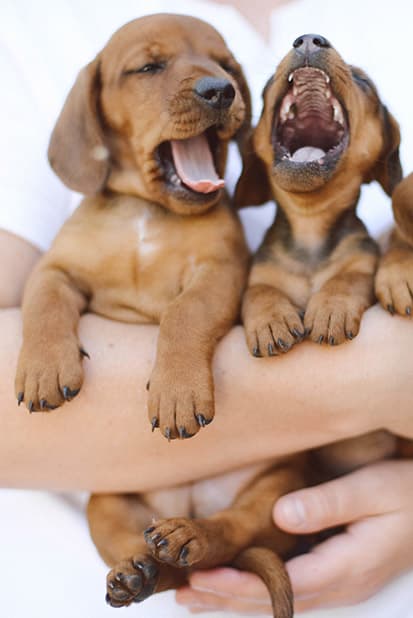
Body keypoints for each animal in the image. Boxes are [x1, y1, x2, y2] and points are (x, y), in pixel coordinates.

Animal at [14, 14, 249, 438]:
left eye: (228, 66)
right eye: (149, 67)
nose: (222, 90)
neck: (147, 209)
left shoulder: (222, 269)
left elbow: (185, 312)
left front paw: (178, 389)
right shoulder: (53, 268)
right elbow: (44, 305)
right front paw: (45, 367)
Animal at [237, 33, 400, 354]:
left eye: (363, 82)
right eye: (267, 84)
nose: (309, 39)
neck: (309, 223)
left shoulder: (362, 263)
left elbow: (347, 279)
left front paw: (330, 308)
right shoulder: (261, 276)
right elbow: (259, 292)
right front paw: (270, 320)